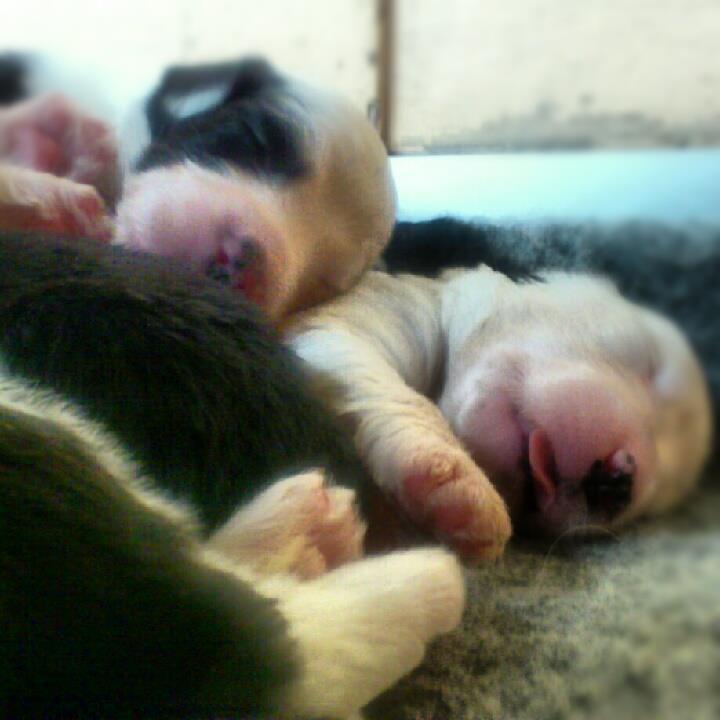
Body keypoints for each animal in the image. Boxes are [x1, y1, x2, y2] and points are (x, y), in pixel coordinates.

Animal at [288, 262, 712, 557]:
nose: (620, 481)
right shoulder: (354, 319)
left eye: (655, 501)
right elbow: (378, 379)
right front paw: (456, 484)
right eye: (649, 363)